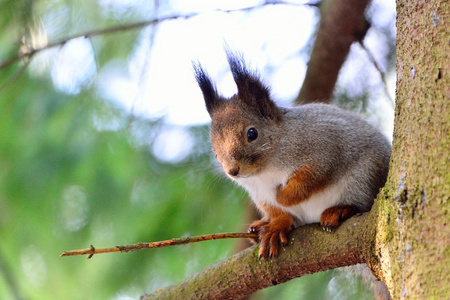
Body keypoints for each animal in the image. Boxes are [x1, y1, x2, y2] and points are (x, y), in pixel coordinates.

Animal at [192, 51, 390, 258]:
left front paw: (283, 196)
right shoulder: (259, 193)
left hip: (364, 178)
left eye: (252, 133)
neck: (266, 170)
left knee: (362, 203)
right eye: (215, 152)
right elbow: (278, 211)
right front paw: (277, 226)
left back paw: (340, 210)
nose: (233, 171)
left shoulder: (326, 147)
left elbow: (311, 178)